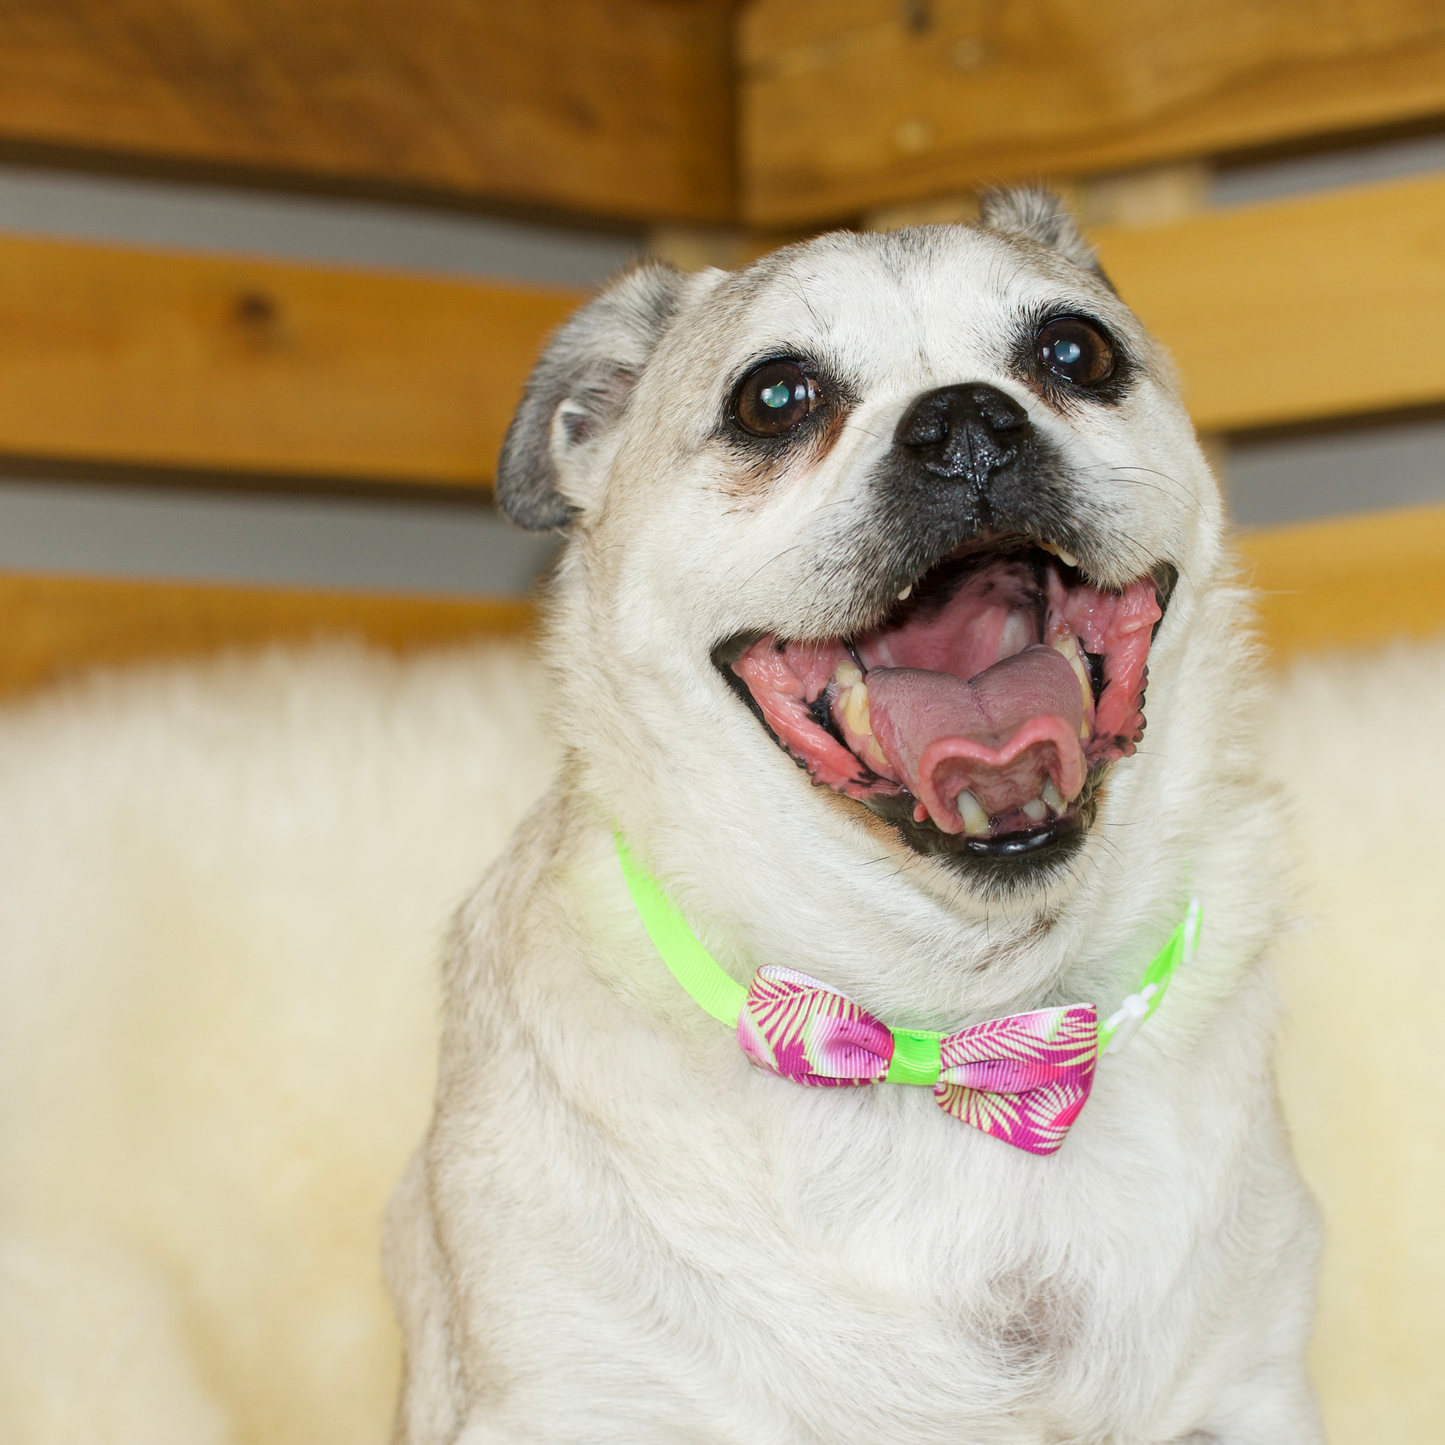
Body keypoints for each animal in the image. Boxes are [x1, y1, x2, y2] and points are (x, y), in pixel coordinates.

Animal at [381, 195, 1323, 1445]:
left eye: (1075, 353)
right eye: (774, 398)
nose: (965, 420)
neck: (951, 1027)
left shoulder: (1249, 1390)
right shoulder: (575, 1396)